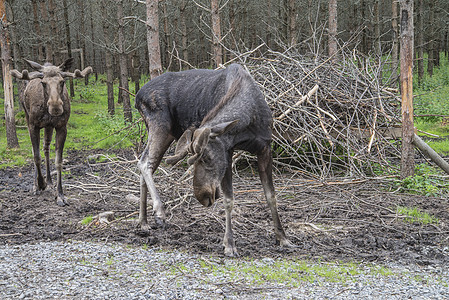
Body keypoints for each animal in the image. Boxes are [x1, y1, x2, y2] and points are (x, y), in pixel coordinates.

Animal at [11, 59, 92, 207]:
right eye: (43, 83)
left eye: (62, 81)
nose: (55, 107)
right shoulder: (33, 125)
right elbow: (36, 156)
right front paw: (40, 184)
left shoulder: (61, 127)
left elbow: (58, 161)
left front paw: (59, 195)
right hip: (27, 118)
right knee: (35, 150)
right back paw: (37, 185)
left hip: (48, 127)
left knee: (46, 148)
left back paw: (49, 181)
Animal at [135, 63, 292, 255]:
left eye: (207, 157)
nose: (202, 196)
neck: (248, 122)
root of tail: (138, 96)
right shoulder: (228, 150)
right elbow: (229, 199)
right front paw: (229, 244)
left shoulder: (265, 147)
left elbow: (271, 195)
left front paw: (282, 238)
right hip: (160, 126)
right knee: (145, 164)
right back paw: (159, 212)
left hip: (166, 133)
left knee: (144, 163)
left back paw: (143, 222)